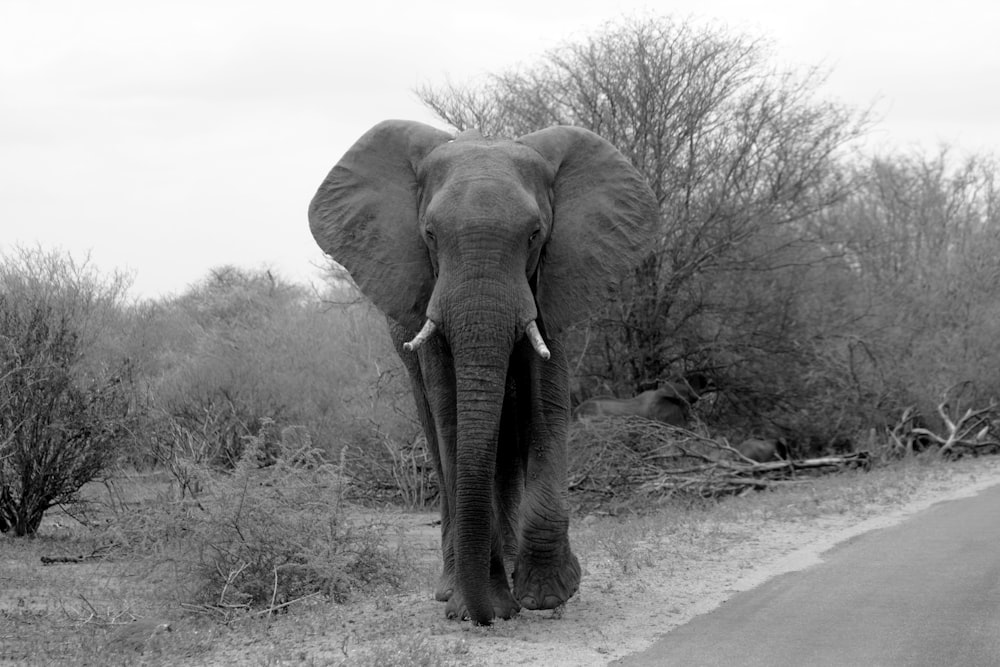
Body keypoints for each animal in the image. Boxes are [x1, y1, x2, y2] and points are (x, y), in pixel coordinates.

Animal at [308, 117, 660, 624]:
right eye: (430, 234)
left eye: (535, 234)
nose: (487, 617)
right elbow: (451, 412)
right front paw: (480, 605)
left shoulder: (555, 279)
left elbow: (546, 403)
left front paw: (547, 595)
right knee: (438, 433)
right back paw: (451, 589)